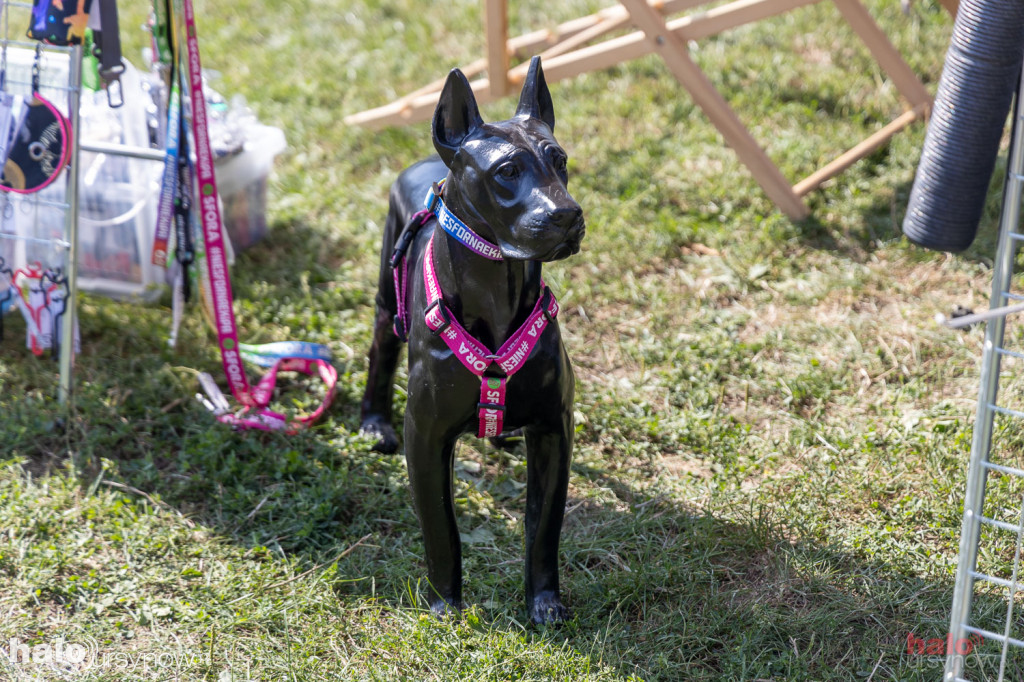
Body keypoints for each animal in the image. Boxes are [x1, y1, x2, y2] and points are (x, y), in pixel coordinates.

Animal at [358, 58, 585, 622]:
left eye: (560, 160)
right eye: (506, 171)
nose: (568, 215)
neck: (498, 294)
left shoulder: (554, 429)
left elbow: (543, 530)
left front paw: (544, 603)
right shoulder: (425, 437)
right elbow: (442, 530)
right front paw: (445, 604)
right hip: (385, 303)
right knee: (379, 357)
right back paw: (372, 421)